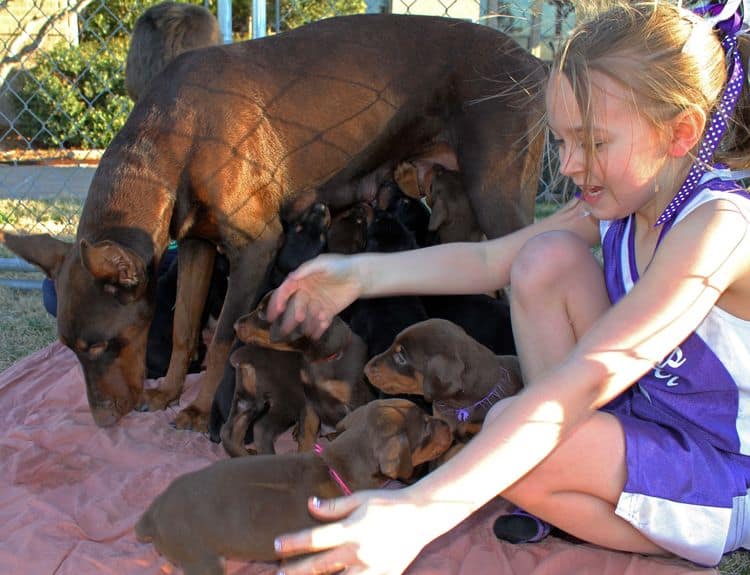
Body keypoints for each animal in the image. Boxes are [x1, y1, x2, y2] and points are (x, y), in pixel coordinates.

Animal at [236, 292, 374, 450]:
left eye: (262, 313)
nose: (235, 325)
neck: (320, 360)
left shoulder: (353, 403)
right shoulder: (309, 397)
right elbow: (307, 431)